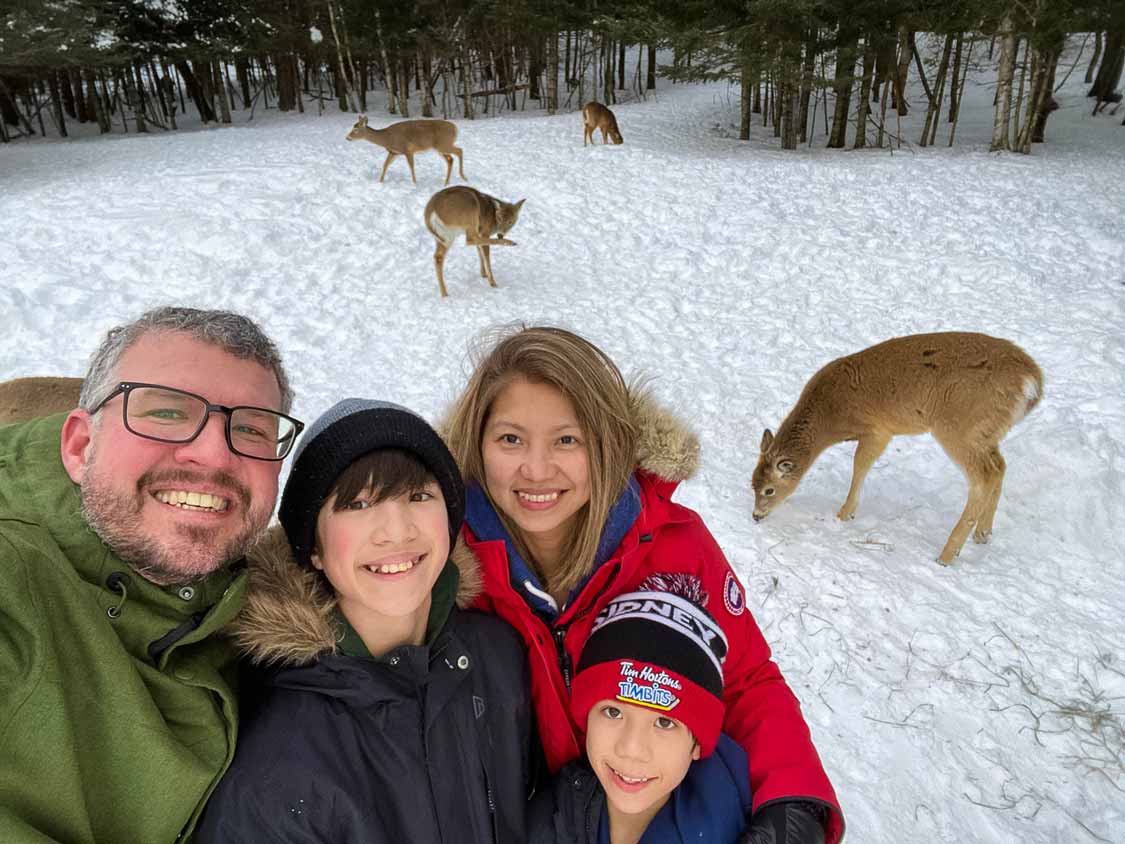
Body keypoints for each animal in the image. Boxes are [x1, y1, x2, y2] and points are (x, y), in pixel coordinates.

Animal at [751, 333, 1039, 564]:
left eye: (769, 490)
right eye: (752, 483)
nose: (755, 515)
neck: (830, 415)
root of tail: (1033, 380)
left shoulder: (878, 430)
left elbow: (860, 464)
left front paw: (844, 514)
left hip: (959, 427)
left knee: (984, 476)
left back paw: (946, 555)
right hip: (987, 433)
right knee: (1000, 466)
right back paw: (982, 533)